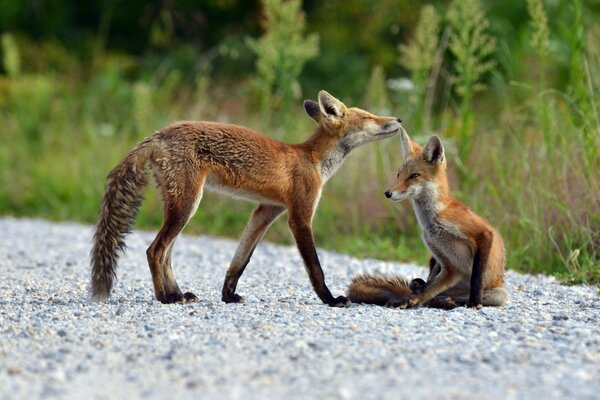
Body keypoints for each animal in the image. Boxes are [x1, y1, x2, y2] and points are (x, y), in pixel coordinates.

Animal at [90, 90, 404, 308]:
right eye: (369, 117)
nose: (399, 119)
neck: (313, 160)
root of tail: (158, 135)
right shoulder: (299, 216)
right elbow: (315, 267)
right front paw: (330, 299)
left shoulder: (266, 211)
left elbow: (240, 260)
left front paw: (228, 295)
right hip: (187, 205)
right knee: (154, 250)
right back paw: (166, 298)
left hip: (181, 206)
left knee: (165, 253)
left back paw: (177, 292)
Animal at [346, 128, 506, 310]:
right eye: (398, 175)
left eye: (414, 175)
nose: (388, 193)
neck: (433, 218)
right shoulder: (446, 263)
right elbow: (427, 289)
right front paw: (409, 299)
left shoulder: (482, 233)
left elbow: (476, 276)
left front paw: (475, 302)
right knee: (428, 294)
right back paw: (433, 299)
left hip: (498, 294)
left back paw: (453, 301)